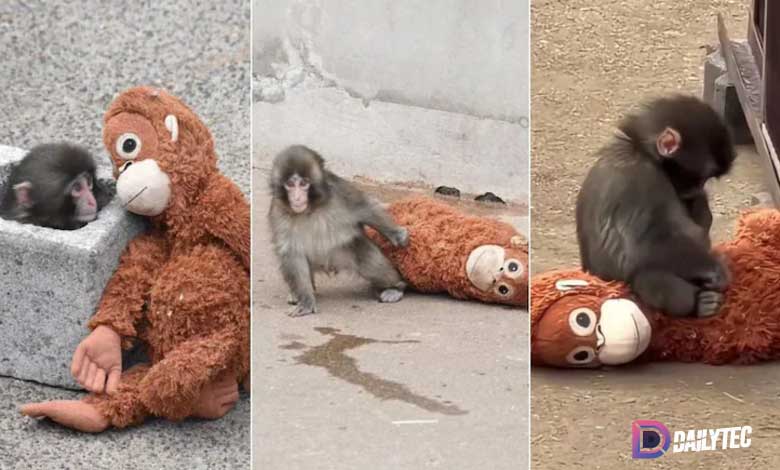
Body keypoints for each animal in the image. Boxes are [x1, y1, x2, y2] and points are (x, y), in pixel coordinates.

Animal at [268, 145, 409, 317]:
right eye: (289, 184)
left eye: (303, 183)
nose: (296, 198)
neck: (309, 209)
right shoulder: (278, 212)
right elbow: (292, 253)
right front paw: (306, 301)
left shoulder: (340, 192)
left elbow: (364, 209)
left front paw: (396, 234)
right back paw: (298, 293)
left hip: (343, 252)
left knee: (369, 260)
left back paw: (395, 287)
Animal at [576, 95, 736, 318]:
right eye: (702, 176)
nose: (698, 188)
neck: (641, 150)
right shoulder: (641, 179)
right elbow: (647, 246)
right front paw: (716, 269)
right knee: (647, 273)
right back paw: (698, 303)